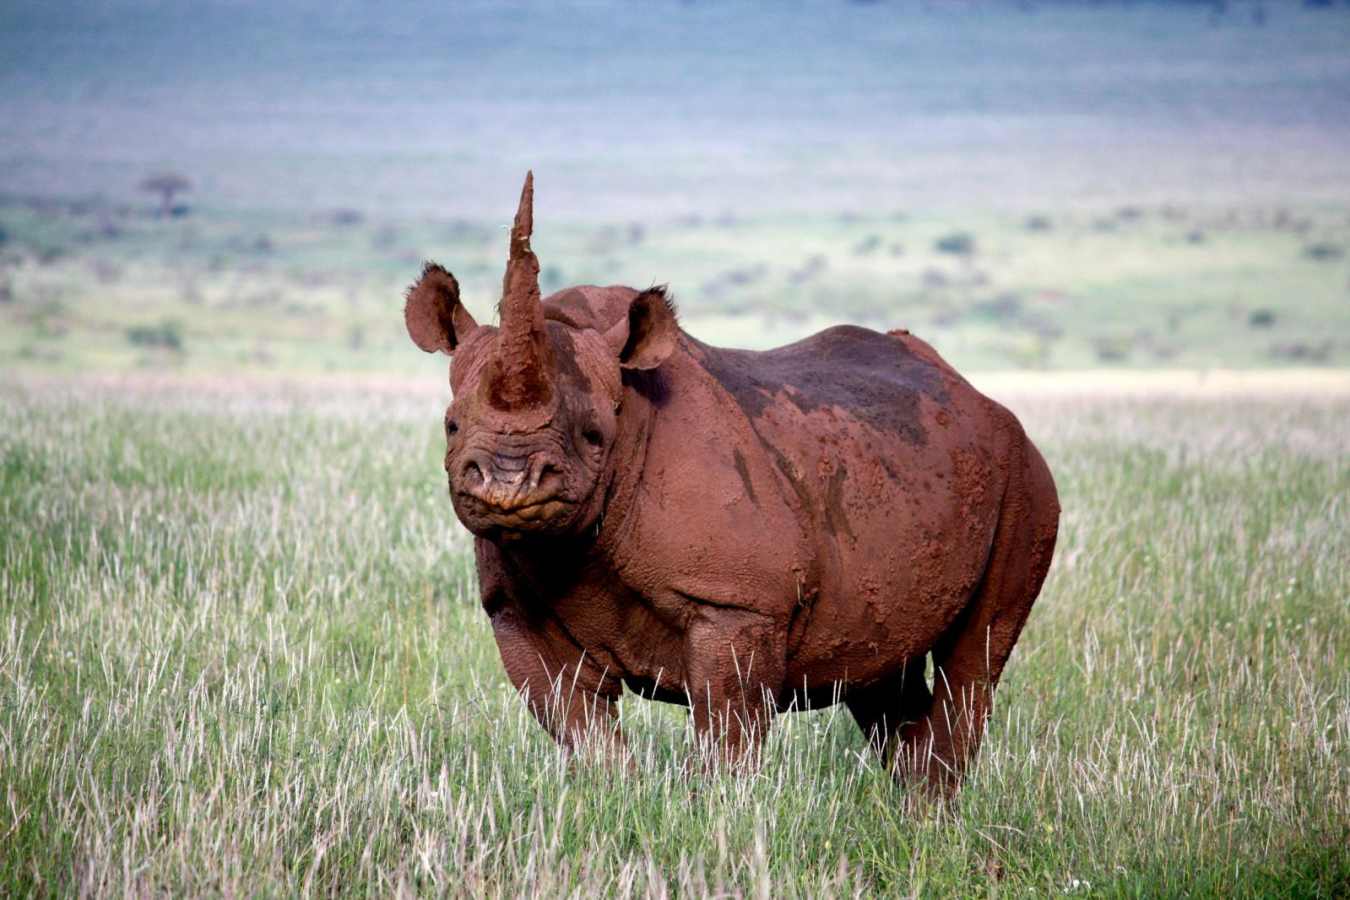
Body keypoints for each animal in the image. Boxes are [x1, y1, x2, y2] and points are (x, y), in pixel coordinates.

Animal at [405, 173, 1059, 791]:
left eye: (594, 435)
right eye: (451, 425)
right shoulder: (514, 608)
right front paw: (615, 797)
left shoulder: (738, 602)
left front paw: (716, 812)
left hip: (1025, 480)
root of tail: (979, 396)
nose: (508, 482)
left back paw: (927, 812)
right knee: (881, 671)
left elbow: (727, 730)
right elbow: (580, 729)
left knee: (975, 659)